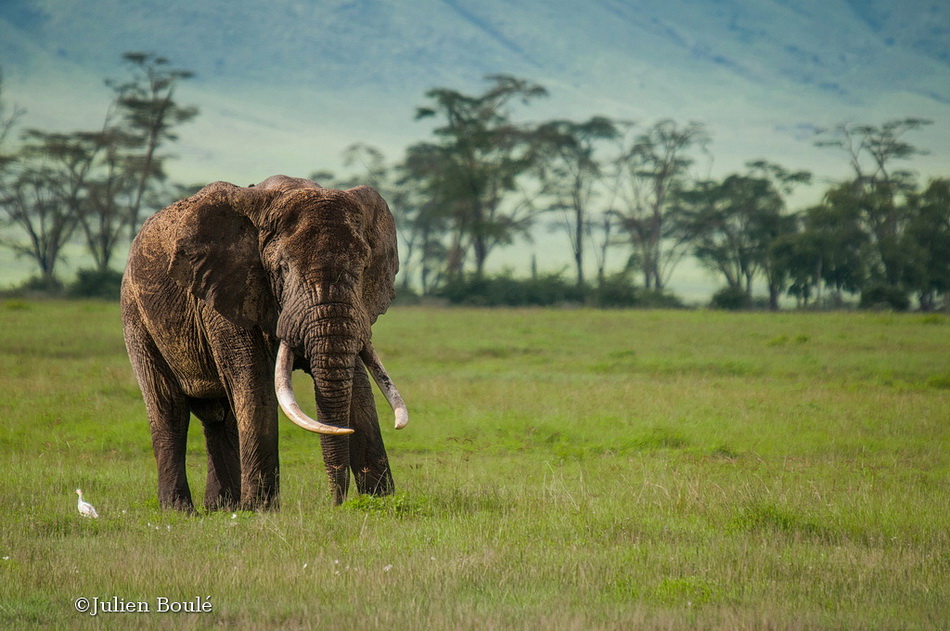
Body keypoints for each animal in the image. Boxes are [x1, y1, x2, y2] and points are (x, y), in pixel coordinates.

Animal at [121, 175, 408, 512]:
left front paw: (380, 502)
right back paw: (180, 510)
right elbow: (254, 385)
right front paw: (260, 510)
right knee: (169, 410)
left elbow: (359, 387)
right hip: (136, 315)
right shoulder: (225, 296)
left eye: (363, 269)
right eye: (283, 269)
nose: (336, 503)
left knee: (220, 417)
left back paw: (222, 507)